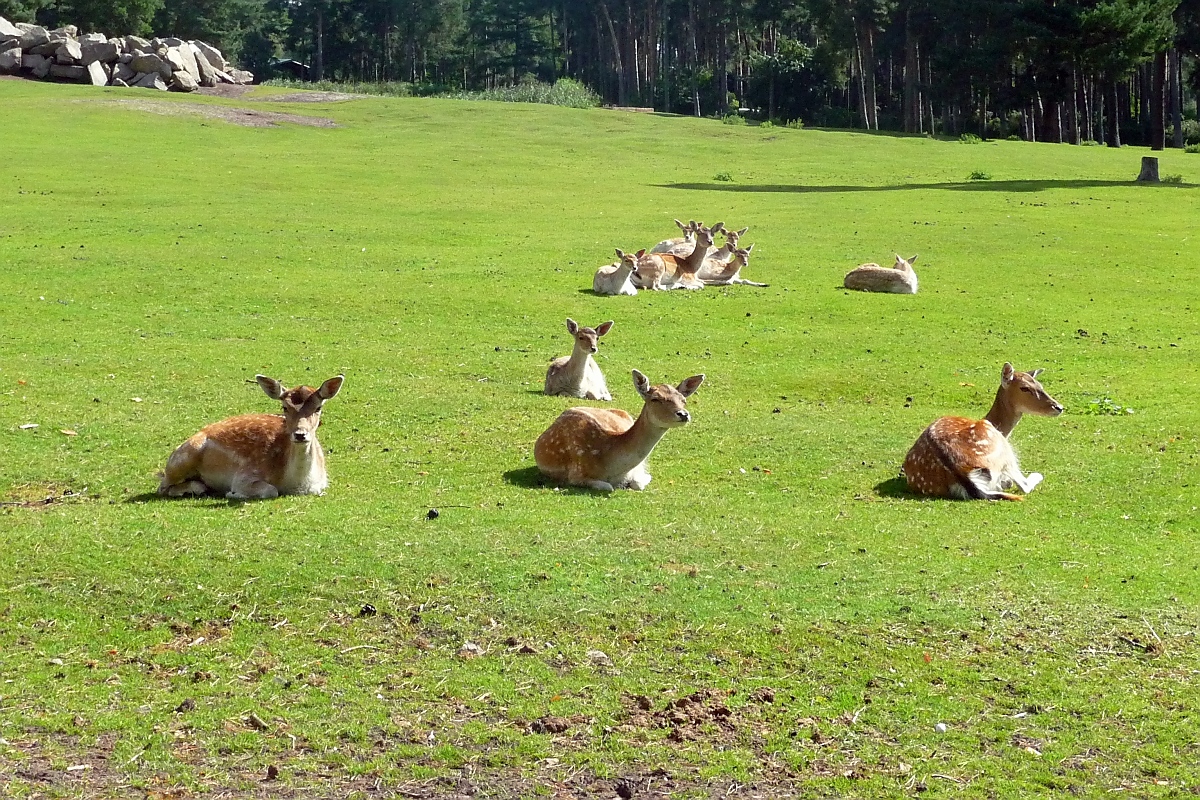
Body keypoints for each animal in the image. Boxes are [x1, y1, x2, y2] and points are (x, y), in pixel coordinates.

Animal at [158, 376, 343, 501]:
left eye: (318, 407)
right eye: (284, 407)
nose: (300, 434)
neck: (297, 484)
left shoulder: (321, 483)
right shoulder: (244, 475)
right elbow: (270, 490)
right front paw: (232, 493)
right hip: (183, 458)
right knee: (163, 487)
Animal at [535, 371, 700, 494]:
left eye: (683, 400)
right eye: (655, 399)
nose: (683, 414)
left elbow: (638, 483)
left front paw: (642, 478)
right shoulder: (576, 474)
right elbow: (608, 486)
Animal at [902, 362, 1065, 501]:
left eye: (1040, 385)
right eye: (1024, 388)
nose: (1059, 407)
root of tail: (961, 472)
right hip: (1003, 449)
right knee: (1023, 485)